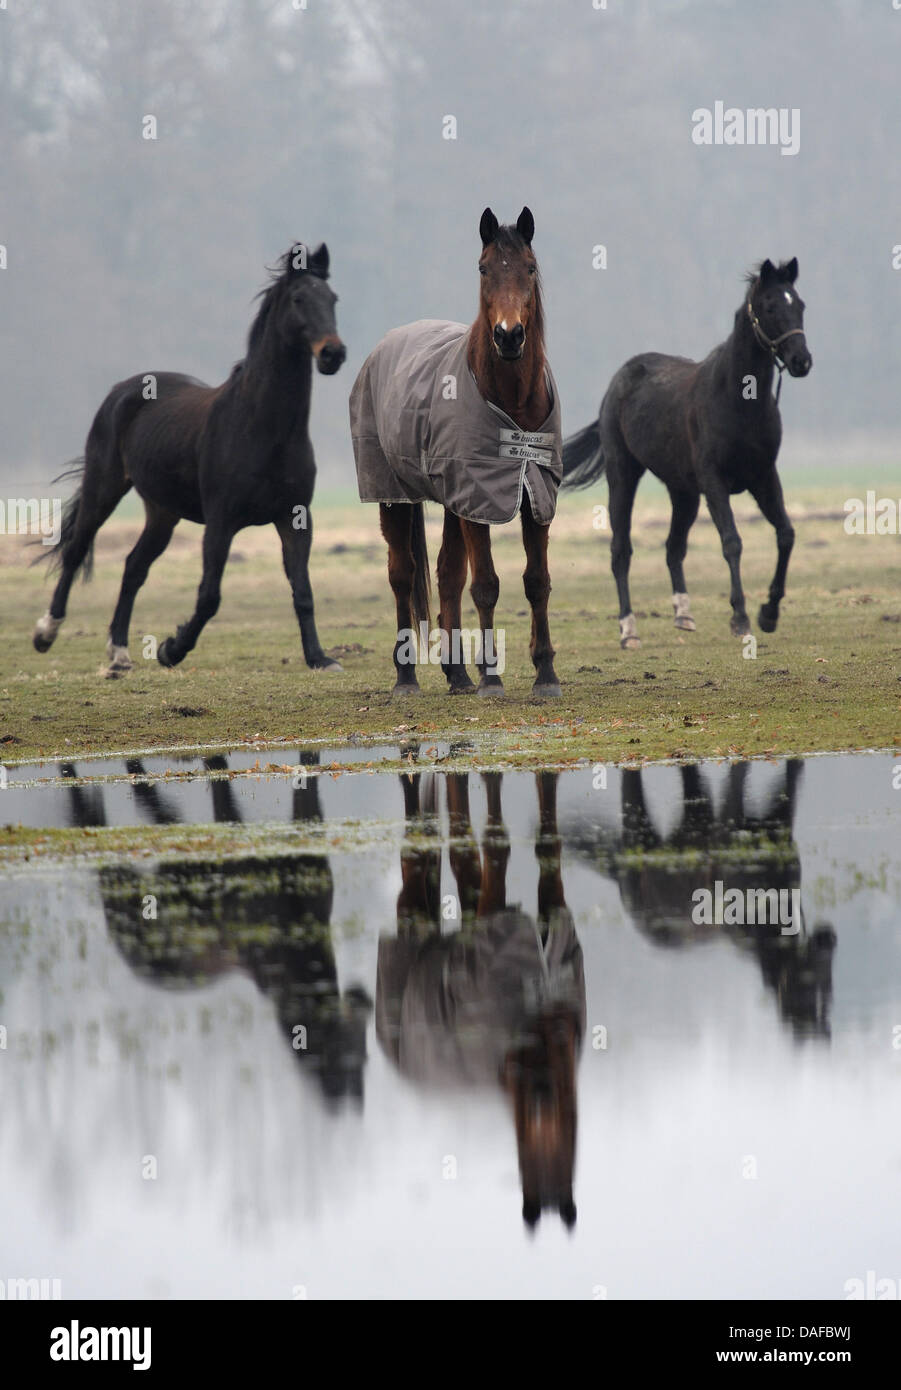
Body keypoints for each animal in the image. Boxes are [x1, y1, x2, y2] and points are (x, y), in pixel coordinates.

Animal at [32, 244, 344, 678]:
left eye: (332, 300)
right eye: (299, 299)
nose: (333, 353)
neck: (263, 429)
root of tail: (121, 391)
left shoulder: (295, 517)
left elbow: (303, 590)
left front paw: (319, 658)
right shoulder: (221, 521)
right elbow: (209, 595)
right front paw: (171, 649)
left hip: (162, 512)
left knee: (134, 567)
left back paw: (120, 654)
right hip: (104, 487)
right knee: (77, 550)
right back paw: (46, 633)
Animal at [351, 208, 561, 695]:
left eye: (530, 268)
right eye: (483, 269)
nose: (509, 336)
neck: (513, 406)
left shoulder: (535, 496)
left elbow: (536, 582)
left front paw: (545, 672)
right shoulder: (479, 500)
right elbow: (486, 584)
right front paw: (493, 678)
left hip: (453, 502)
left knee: (447, 575)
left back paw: (458, 673)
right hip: (394, 496)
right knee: (402, 575)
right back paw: (407, 676)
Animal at [561, 258, 812, 647]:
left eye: (799, 305)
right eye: (770, 307)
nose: (802, 361)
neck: (738, 400)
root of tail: (618, 381)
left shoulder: (764, 477)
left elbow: (786, 534)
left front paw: (769, 614)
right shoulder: (714, 482)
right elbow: (732, 542)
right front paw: (740, 618)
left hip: (683, 493)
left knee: (673, 547)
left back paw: (684, 614)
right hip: (623, 475)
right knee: (621, 550)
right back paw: (628, 630)